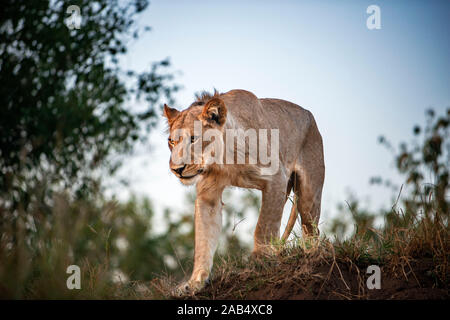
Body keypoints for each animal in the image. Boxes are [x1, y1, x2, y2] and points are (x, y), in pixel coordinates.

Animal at [163, 89, 326, 296]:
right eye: (171, 141)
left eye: (193, 138)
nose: (177, 169)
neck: (224, 158)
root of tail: (309, 115)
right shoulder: (208, 194)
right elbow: (203, 240)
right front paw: (195, 283)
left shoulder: (276, 178)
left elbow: (263, 226)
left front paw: (261, 260)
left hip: (309, 195)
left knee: (311, 229)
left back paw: (311, 255)